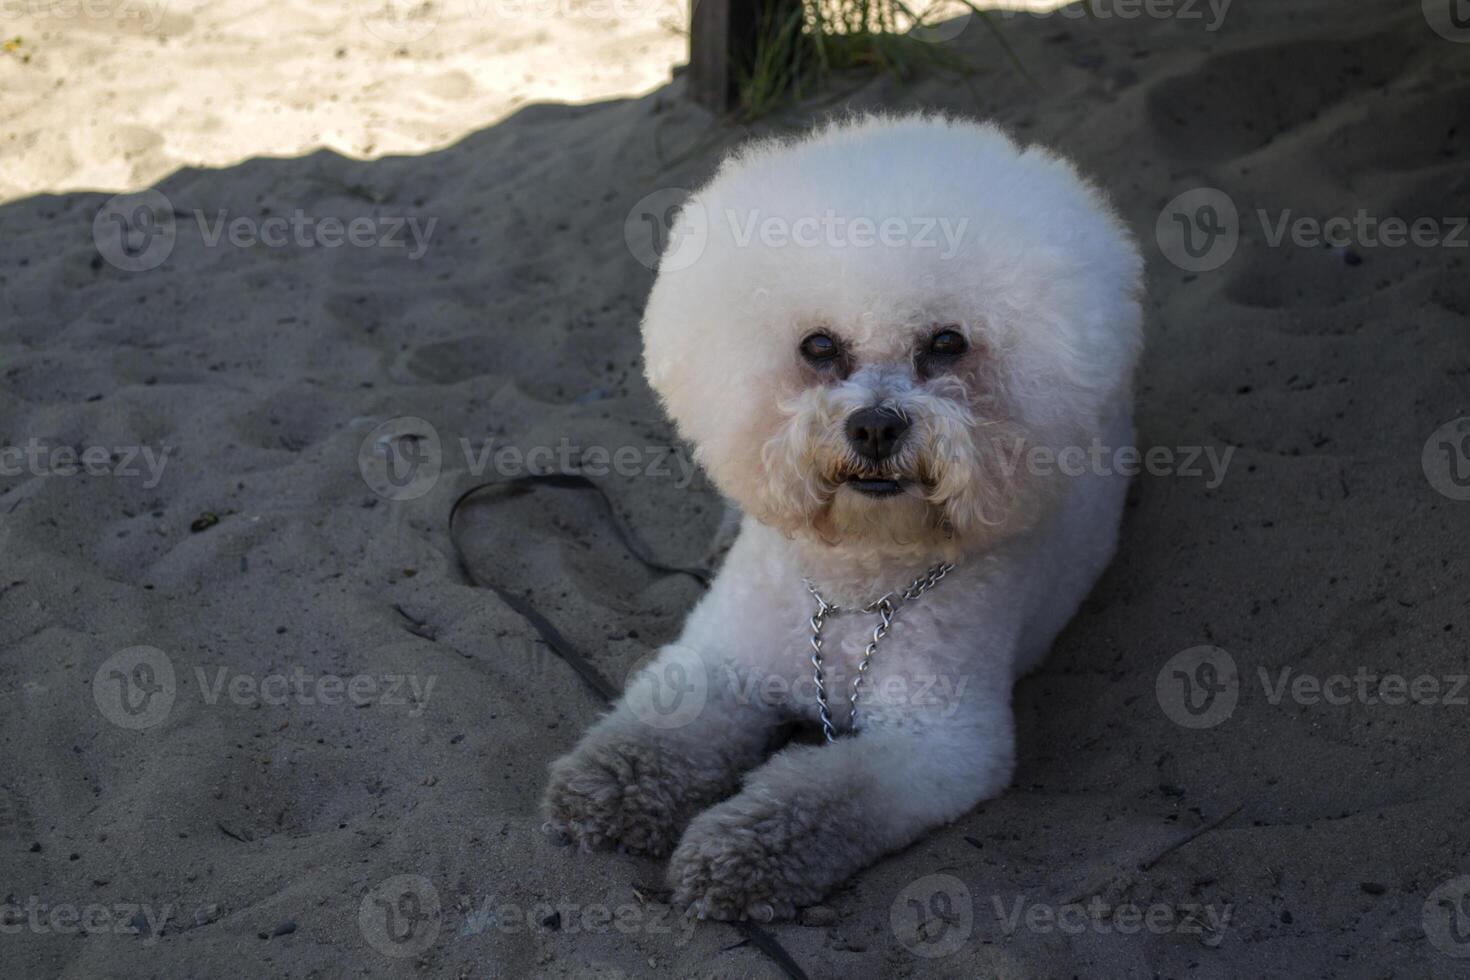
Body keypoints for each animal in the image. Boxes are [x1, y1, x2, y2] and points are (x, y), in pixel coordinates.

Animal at [546, 113, 1140, 922]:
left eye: (946, 344)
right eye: (819, 346)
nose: (876, 427)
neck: (853, 581)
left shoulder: (934, 744)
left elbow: (818, 796)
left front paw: (739, 855)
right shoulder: (721, 661)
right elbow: (658, 735)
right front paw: (608, 785)